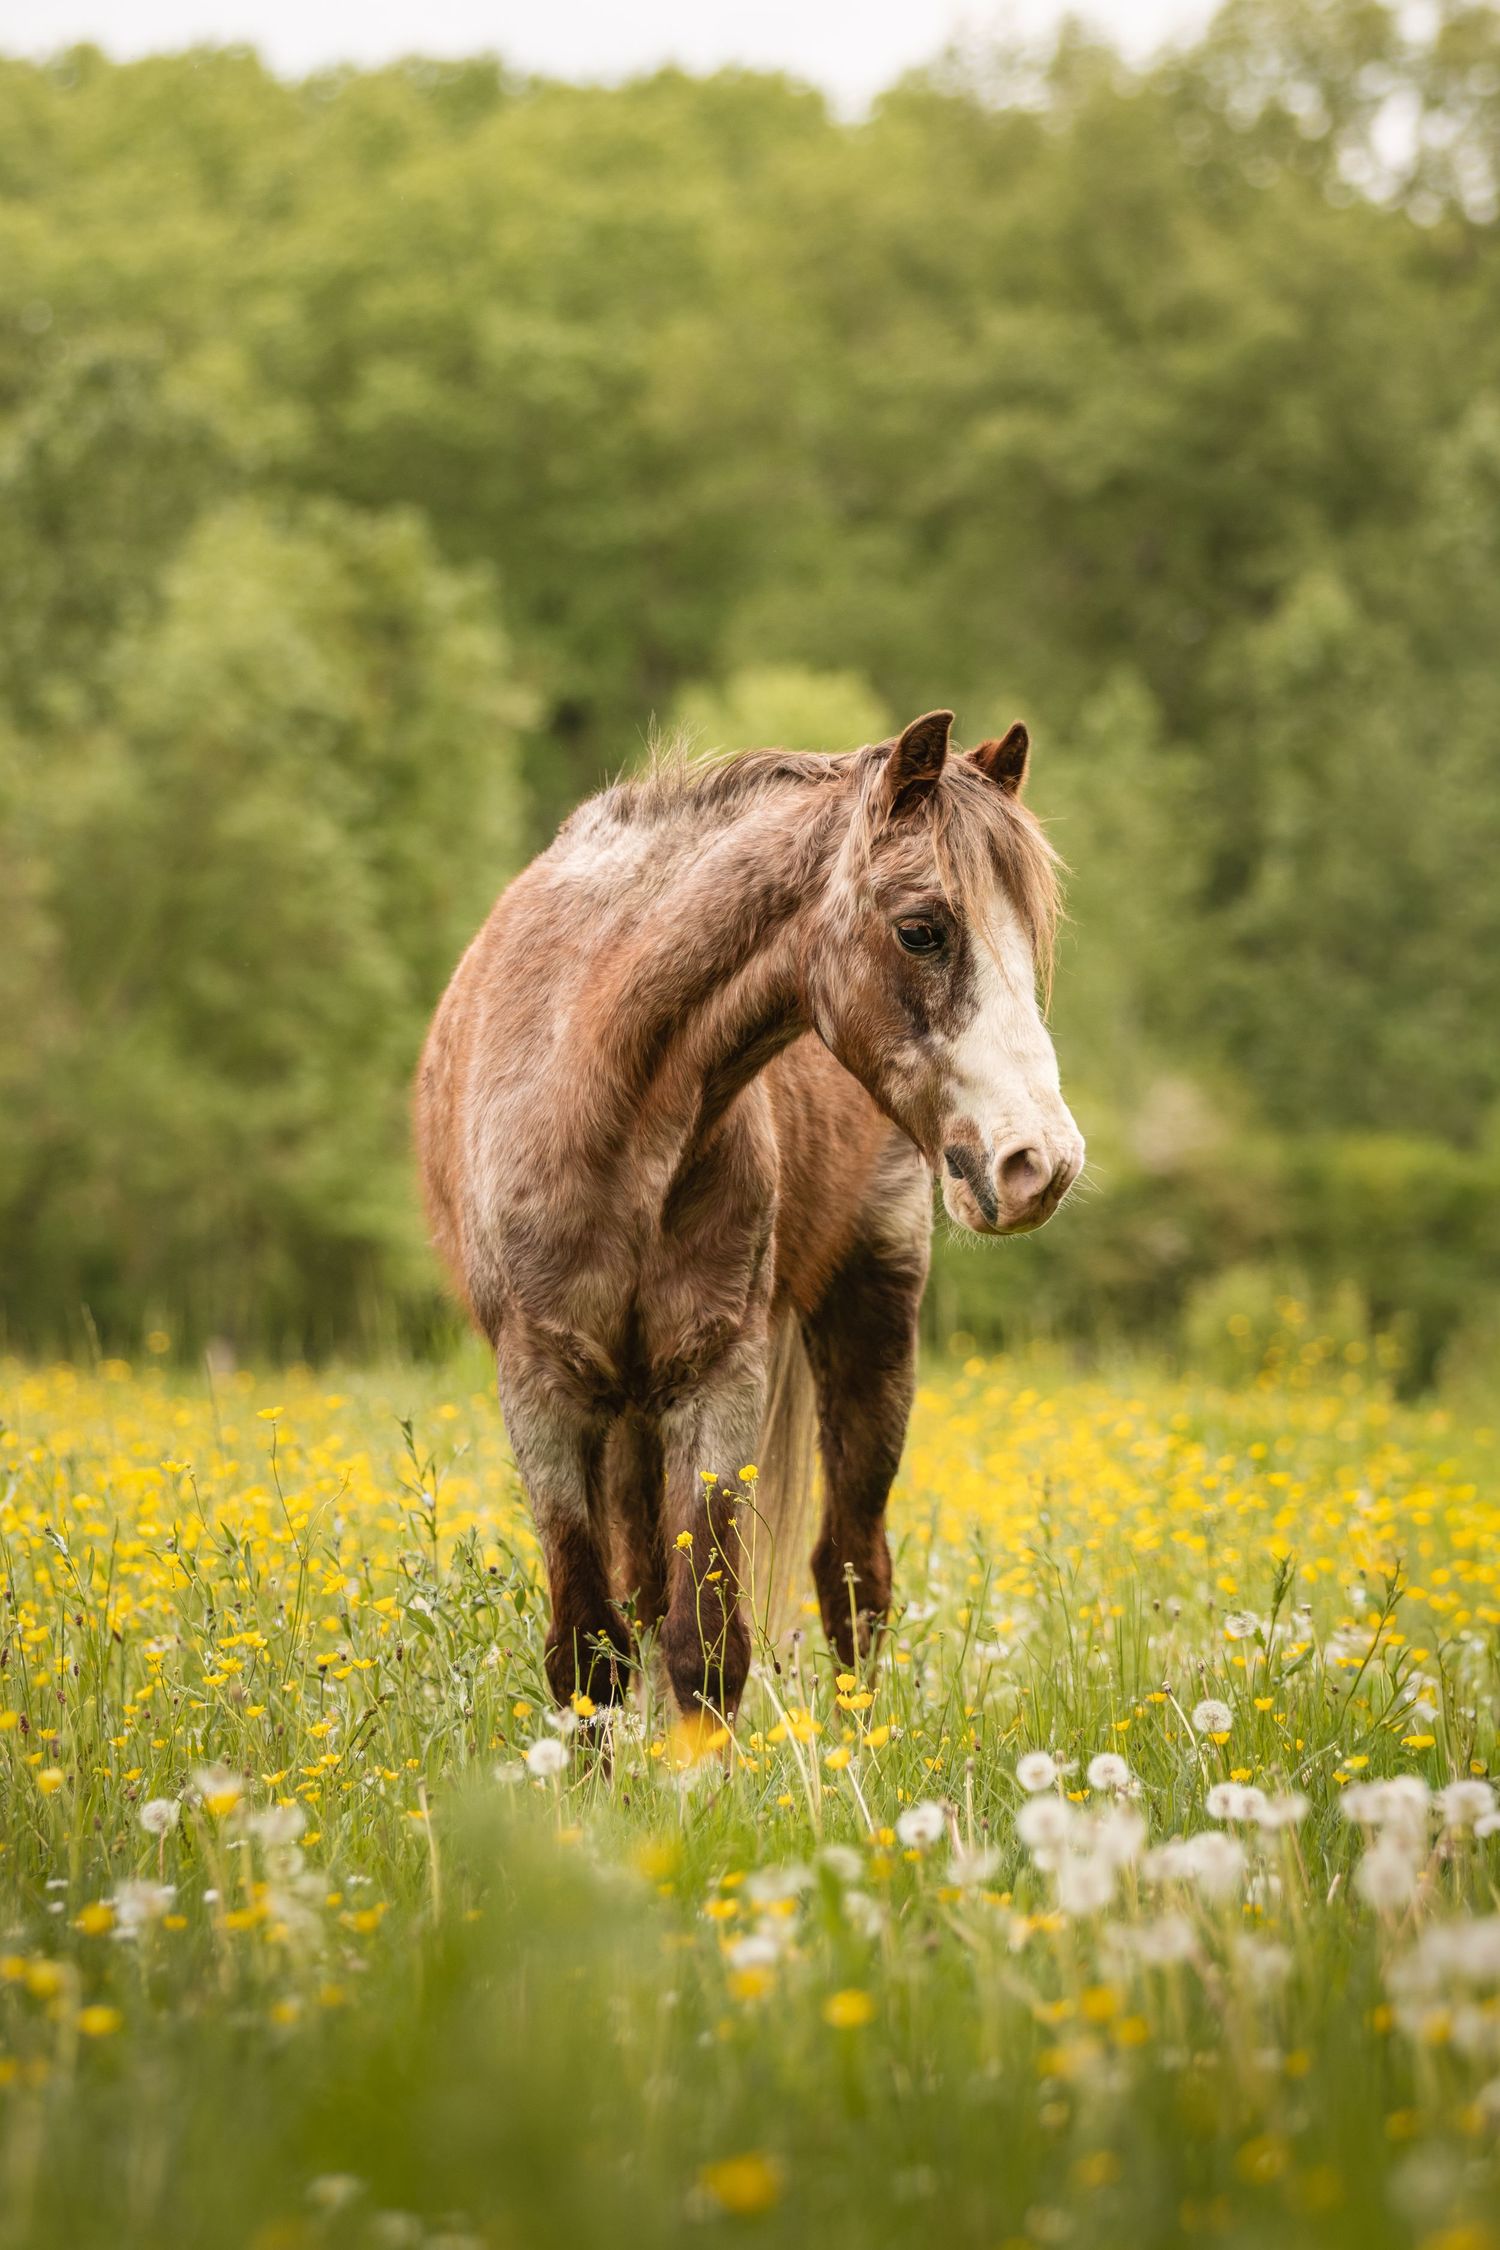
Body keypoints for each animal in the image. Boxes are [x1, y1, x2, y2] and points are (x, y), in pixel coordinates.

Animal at [415, 708, 1083, 1723]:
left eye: (1030, 941)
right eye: (921, 931)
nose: (1039, 1164)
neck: (603, 1102)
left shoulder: (717, 1379)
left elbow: (705, 1649)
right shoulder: (542, 1392)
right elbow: (589, 1651)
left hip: (869, 1319)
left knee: (853, 1575)